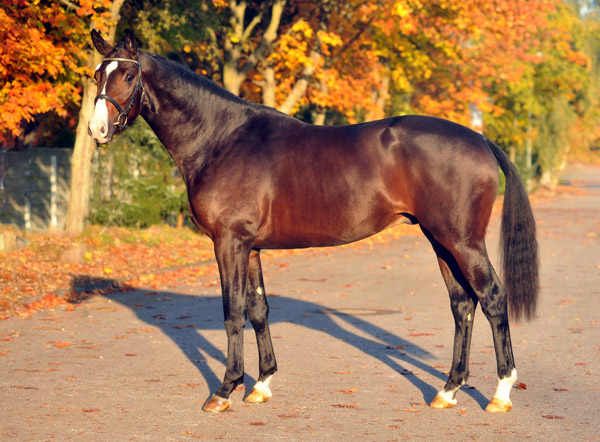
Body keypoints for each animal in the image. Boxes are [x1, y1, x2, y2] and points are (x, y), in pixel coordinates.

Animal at [88, 29, 540, 412]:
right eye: (97, 74)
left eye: (128, 74)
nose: (96, 129)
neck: (221, 139)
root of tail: (479, 139)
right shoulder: (250, 247)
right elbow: (258, 309)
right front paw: (261, 384)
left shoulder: (228, 243)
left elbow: (232, 312)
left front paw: (225, 389)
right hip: (440, 240)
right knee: (462, 304)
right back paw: (448, 390)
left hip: (463, 242)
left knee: (492, 298)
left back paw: (500, 393)